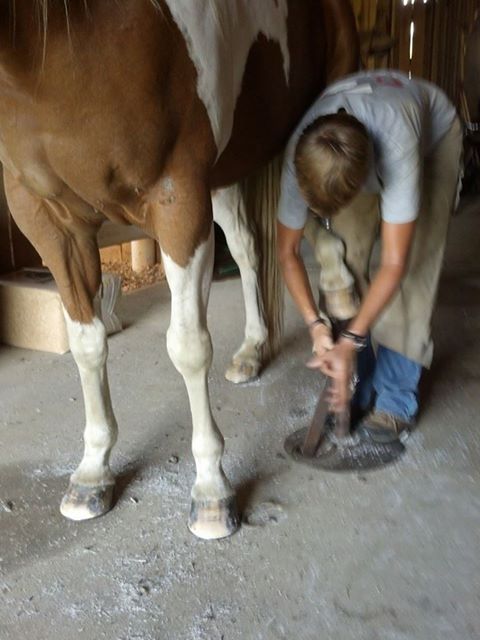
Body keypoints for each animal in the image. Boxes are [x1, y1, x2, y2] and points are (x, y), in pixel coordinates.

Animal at [0, 0, 359, 539]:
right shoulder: (49, 222)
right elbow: (86, 344)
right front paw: (93, 473)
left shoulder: (178, 202)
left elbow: (188, 348)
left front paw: (211, 491)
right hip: (231, 168)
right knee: (250, 246)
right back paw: (253, 350)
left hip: (322, 113)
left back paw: (341, 289)